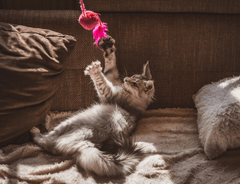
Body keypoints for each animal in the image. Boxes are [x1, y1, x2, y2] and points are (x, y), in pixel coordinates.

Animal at [0, 36, 155, 180]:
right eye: (132, 77)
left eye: (134, 84)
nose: (126, 80)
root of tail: (86, 145)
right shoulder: (113, 78)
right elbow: (111, 65)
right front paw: (108, 47)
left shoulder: (109, 94)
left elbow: (102, 83)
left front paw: (95, 71)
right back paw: (50, 118)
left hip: (71, 123)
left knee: (46, 142)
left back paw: (38, 129)